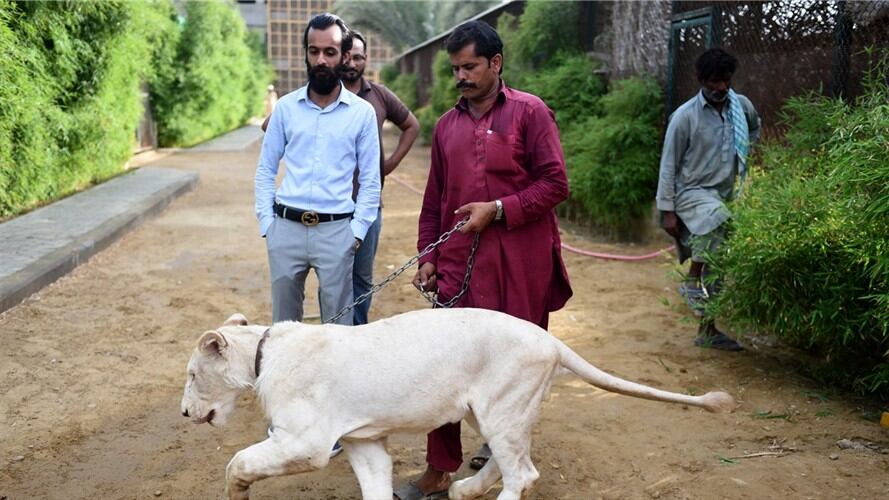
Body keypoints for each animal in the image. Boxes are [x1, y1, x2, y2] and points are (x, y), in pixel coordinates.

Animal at [181, 308, 735, 500]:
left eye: (190, 375)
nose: (184, 414)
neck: (261, 354)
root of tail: (552, 341)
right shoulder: (363, 441)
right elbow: (375, 487)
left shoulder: (307, 442)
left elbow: (238, 462)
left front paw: (237, 491)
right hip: (501, 411)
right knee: (515, 460)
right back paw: (465, 489)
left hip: (500, 407)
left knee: (523, 474)